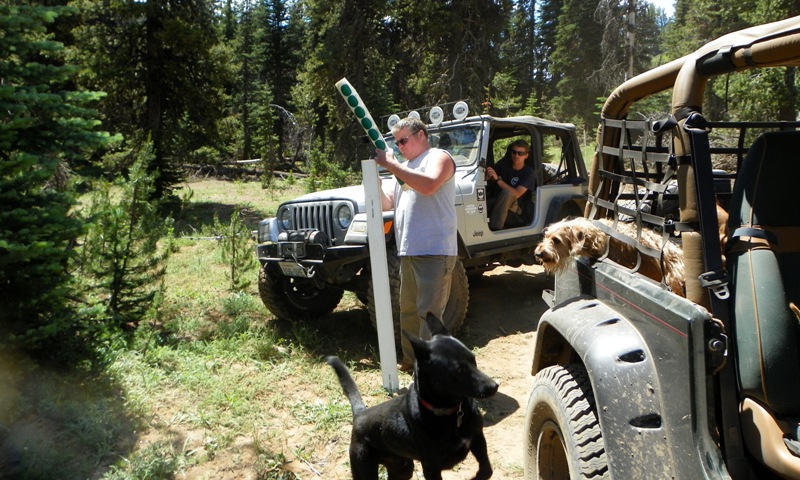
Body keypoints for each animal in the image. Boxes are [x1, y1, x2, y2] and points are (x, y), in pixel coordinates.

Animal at [324, 314, 496, 478]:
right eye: (459, 370)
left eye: (473, 359)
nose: (494, 386)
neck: (451, 413)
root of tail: (360, 414)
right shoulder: (431, 467)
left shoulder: (478, 440)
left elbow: (487, 471)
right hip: (364, 467)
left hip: (403, 470)